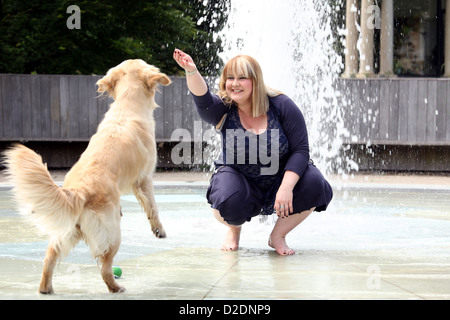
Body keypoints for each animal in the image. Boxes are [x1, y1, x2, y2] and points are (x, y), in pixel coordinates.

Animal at [2, 58, 171, 294]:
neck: (127, 106)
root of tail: (78, 192)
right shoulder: (144, 178)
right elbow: (153, 206)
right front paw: (159, 229)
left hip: (66, 232)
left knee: (50, 256)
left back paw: (46, 288)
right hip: (112, 233)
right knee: (105, 266)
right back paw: (116, 288)